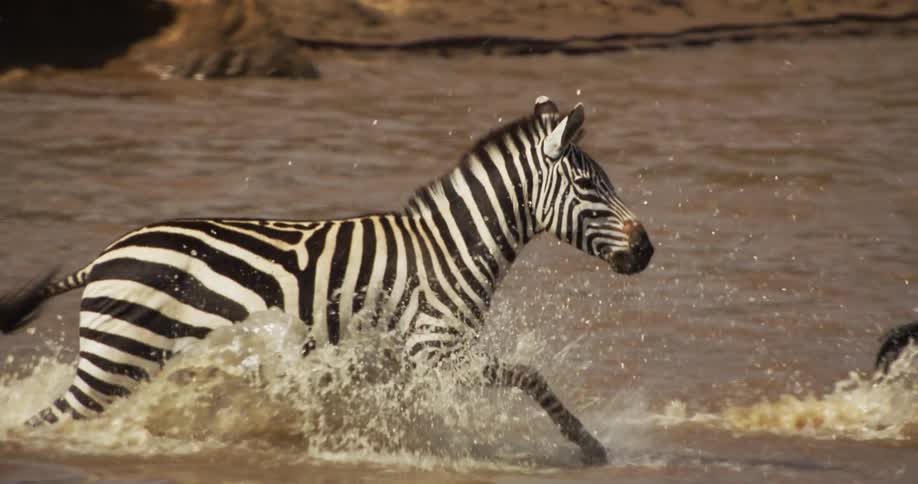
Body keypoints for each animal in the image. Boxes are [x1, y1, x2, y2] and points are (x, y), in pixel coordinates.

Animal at [0, 97, 653, 465]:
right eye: (589, 186)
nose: (648, 250)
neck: (447, 250)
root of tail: (106, 255)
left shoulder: (400, 363)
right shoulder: (436, 352)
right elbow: (530, 376)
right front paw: (588, 447)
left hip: (131, 360)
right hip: (118, 359)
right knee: (49, 420)